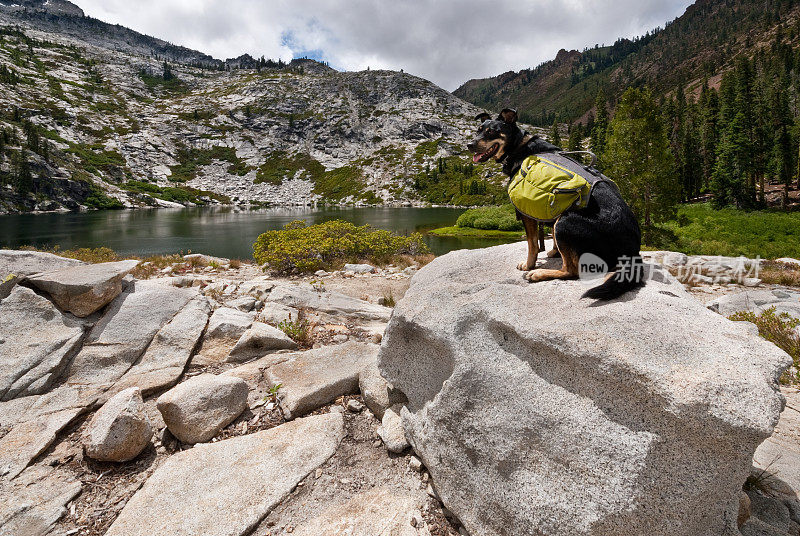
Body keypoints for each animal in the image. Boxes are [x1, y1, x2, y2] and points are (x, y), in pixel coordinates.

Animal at [468, 108, 644, 302]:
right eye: (478, 130)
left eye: (492, 131)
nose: (469, 145)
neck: (519, 147)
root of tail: (633, 252)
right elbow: (549, 237)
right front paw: (554, 252)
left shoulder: (527, 215)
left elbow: (532, 245)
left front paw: (529, 265)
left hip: (565, 222)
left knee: (572, 271)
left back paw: (539, 274)